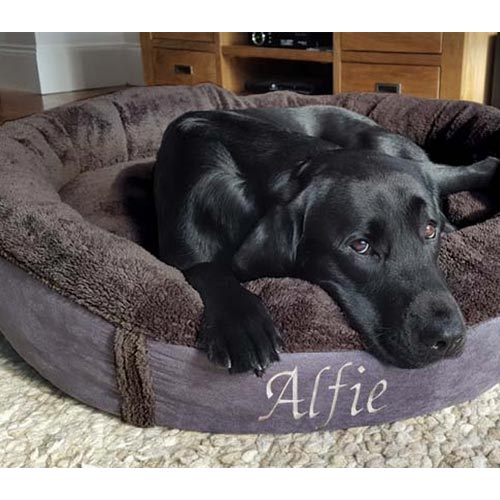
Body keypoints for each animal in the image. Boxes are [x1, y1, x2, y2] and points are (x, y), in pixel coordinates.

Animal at [153, 106, 500, 376]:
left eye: (428, 230)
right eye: (360, 246)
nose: (450, 338)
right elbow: (205, 268)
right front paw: (241, 323)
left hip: (391, 149)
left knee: (475, 168)